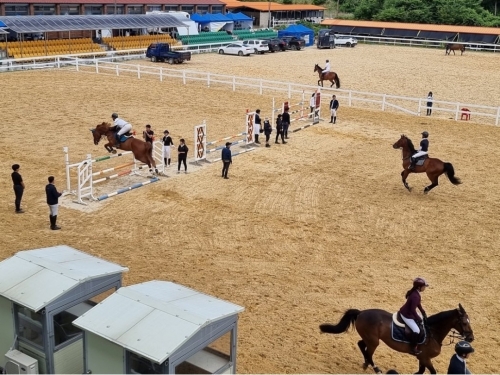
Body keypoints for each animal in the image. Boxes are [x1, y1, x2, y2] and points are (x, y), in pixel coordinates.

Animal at [320, 304, 472, 374]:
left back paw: (365, 364)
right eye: (464, 323)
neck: (432, 332)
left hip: (371, 339)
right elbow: (430, 372)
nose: (471, 337)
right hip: (374, 341)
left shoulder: (422, 358)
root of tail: (361, 312)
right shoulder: (425, 358)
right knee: (368, 352)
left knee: (361, 345)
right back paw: (376, 368)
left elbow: (420, 372)